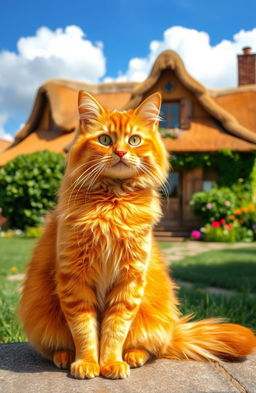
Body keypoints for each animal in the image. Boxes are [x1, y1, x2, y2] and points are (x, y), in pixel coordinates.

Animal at [19, 90, 256, 378]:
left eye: (134, 140)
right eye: (105, 139)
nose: (121, 152)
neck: (113, 204)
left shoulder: (130, 279)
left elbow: (114, 330)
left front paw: (110, 363)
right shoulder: (74, 277)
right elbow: (85, 329)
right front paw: (87, 362)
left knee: (149, 347)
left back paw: (133, 356)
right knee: (57, 346)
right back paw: (65, 356)